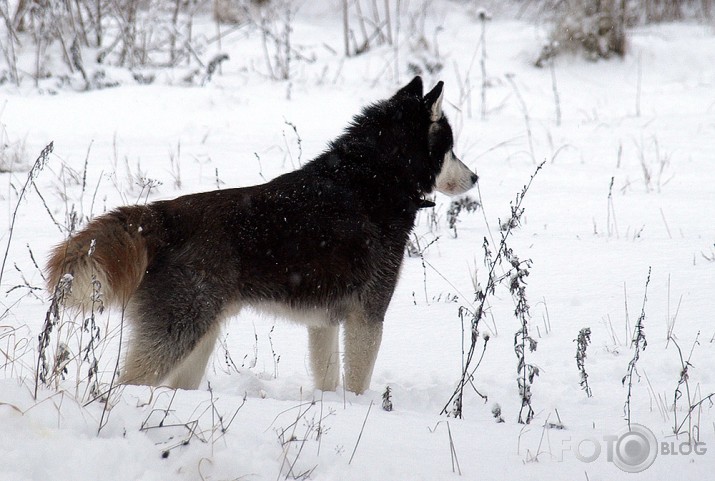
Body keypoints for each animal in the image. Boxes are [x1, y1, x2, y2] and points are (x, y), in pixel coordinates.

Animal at [47, 77, 478, 394]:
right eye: (451, 148)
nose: (475, 177)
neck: (373, 179)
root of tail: (162, 213)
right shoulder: (367, 314)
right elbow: (358, 382)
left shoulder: (324, 321)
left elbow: (327, 379)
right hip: (178, 333)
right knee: (128, 384)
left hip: (200, 338)